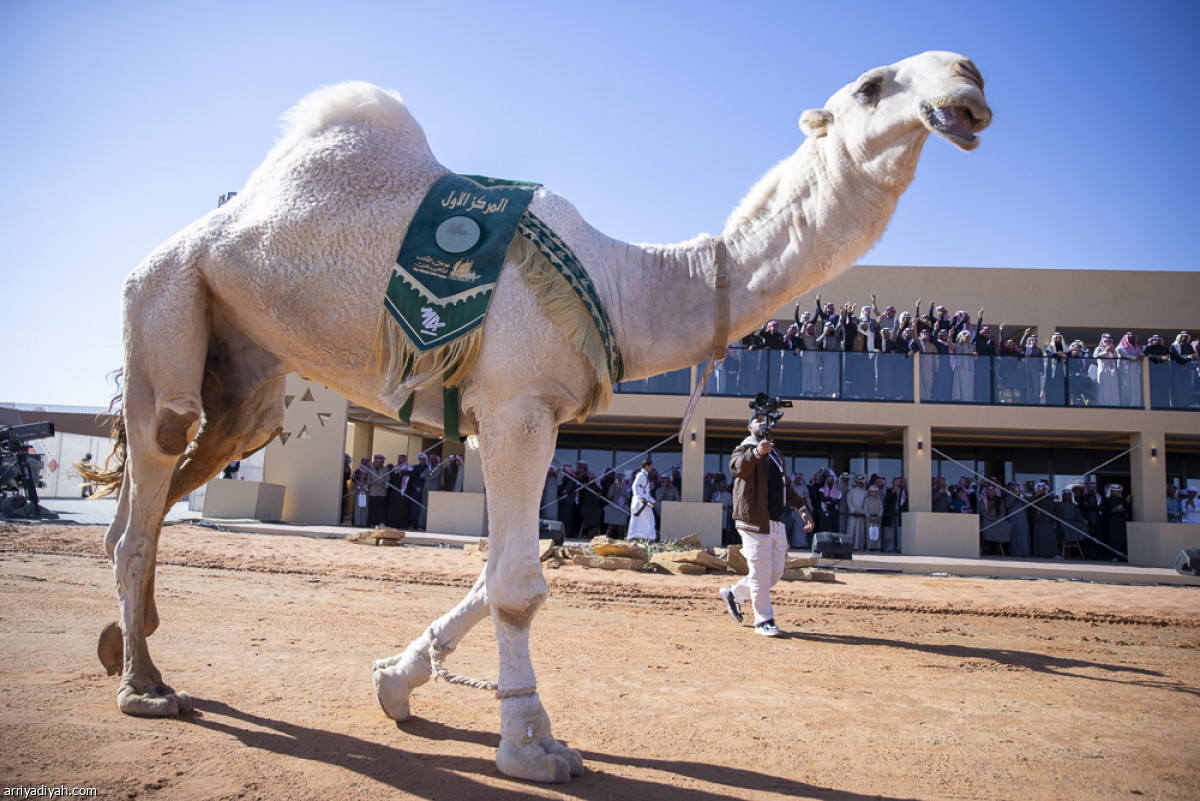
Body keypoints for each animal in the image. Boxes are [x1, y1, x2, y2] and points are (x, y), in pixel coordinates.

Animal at [87, 51, 993, 781]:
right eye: (873, 84)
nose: (969, 79)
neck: (628, 283)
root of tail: (192, 233)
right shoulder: (517, 406)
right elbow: (519, 584)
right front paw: (531, 745)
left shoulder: (521, 416)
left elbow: (496, 571)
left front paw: (394, 683)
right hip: (166, 293)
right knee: (152, 467)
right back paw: (144, 685)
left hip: (246, 368)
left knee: (171, 482)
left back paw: (125, 642)